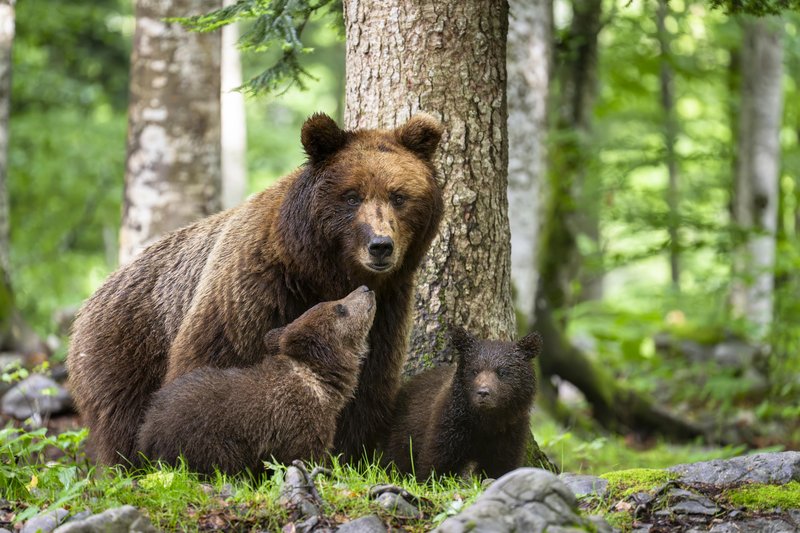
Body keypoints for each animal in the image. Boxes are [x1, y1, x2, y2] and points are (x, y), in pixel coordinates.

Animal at [68, 113, 444, 466]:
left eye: (399, 196)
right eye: (352, 196)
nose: (380, 246)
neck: (322, 272)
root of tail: (93, 297)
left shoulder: (387, 307)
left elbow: (367, 386)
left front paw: (350, 453)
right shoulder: (254, 291)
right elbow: (211, 366)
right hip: (125, 349)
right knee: (120, 421)